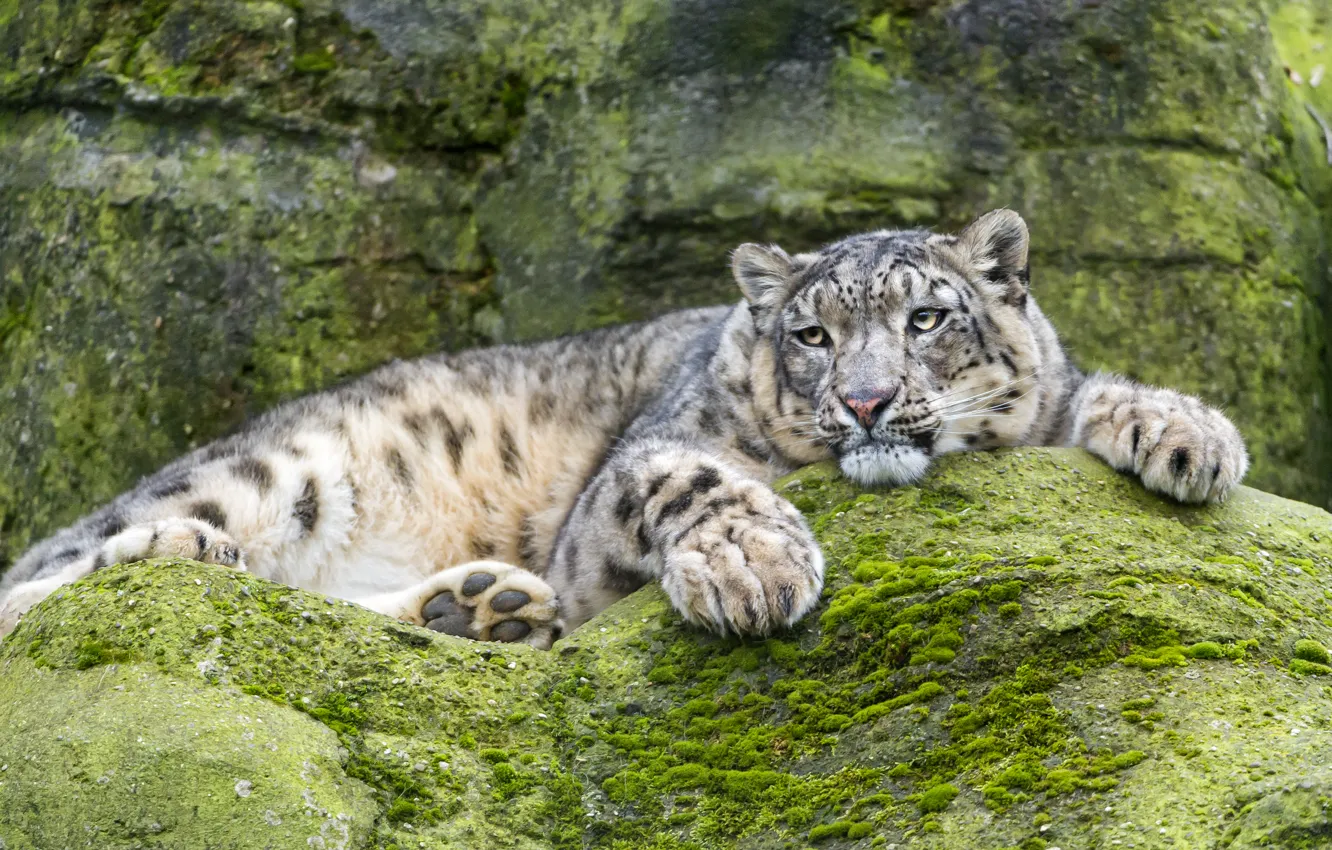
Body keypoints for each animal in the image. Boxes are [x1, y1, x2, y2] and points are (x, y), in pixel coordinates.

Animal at [0, 210, 1248, 647]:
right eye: (812, 334)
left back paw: (478, 608)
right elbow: (687, 476)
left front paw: (1192, 435)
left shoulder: (1046, 400)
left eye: (927, 317)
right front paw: (752, 567)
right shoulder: (632, 484)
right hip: (273, 470)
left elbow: (1081, 393)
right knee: (43, 576)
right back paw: (181, 549)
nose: (865, 402)